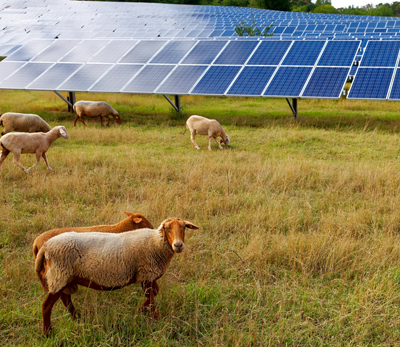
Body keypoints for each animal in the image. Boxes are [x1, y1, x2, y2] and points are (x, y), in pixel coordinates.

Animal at [34, 219, 198, 336]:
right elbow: (152, 298)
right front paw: (154, 319)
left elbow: (153, 294)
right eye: (167, 229)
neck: (155, 242)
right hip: (59, 275)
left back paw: (77, 318)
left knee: (66, 299)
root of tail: (44, 246)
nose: (178, 245)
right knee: (47, 306)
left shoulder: (146, 276)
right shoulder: (147, 273)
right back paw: (48, 333)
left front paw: (140, 309)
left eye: (184, 227)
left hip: (63, 277)